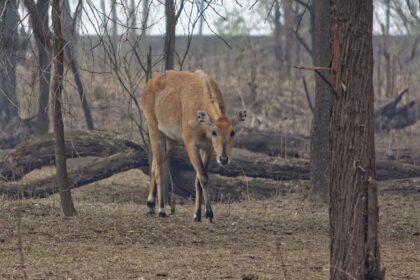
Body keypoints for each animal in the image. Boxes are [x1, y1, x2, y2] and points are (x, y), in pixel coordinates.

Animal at [141, 69, 246, 221]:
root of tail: (149, 85)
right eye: (214, 132)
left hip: (172, 140)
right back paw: (161, 209)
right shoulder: (191, 145)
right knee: (159, 169)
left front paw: (197, 214)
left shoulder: (207, 148)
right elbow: (203, 177)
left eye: (232, 132)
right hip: (154, 130)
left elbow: (199, 179)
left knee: (156, 163)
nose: (224, 159)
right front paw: (208, 213)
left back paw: (150, 205)